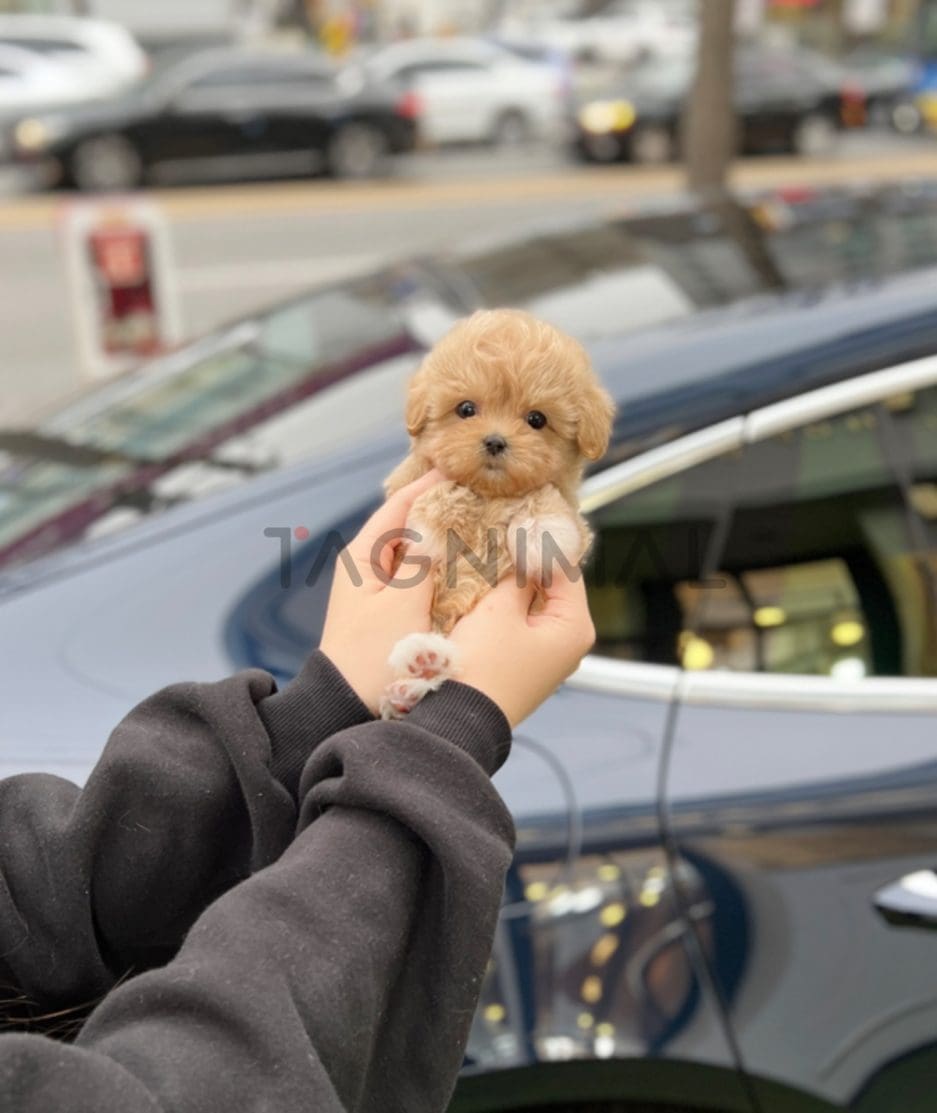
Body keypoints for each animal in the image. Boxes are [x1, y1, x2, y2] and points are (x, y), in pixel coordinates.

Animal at [380, 309, 614, 716]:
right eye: (466, 409)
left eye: (536, 419)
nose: (494, 441)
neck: (493, 495)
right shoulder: (413, 480)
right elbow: (440, 489)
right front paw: (433, 527)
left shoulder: (562, 503)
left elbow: (546, 501)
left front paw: (539, 535)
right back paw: (417, 666)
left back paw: (421, 672)